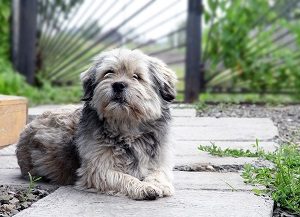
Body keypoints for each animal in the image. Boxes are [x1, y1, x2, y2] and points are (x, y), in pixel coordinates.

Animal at [15, 48, 176, 200]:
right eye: (108, 72)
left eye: (137, 76)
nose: (118, 85)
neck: (127, 128)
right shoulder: (97, 170)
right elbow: (123, 177)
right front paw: (142, 187)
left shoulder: (159, 162)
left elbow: (159, 174)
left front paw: (158, 185)